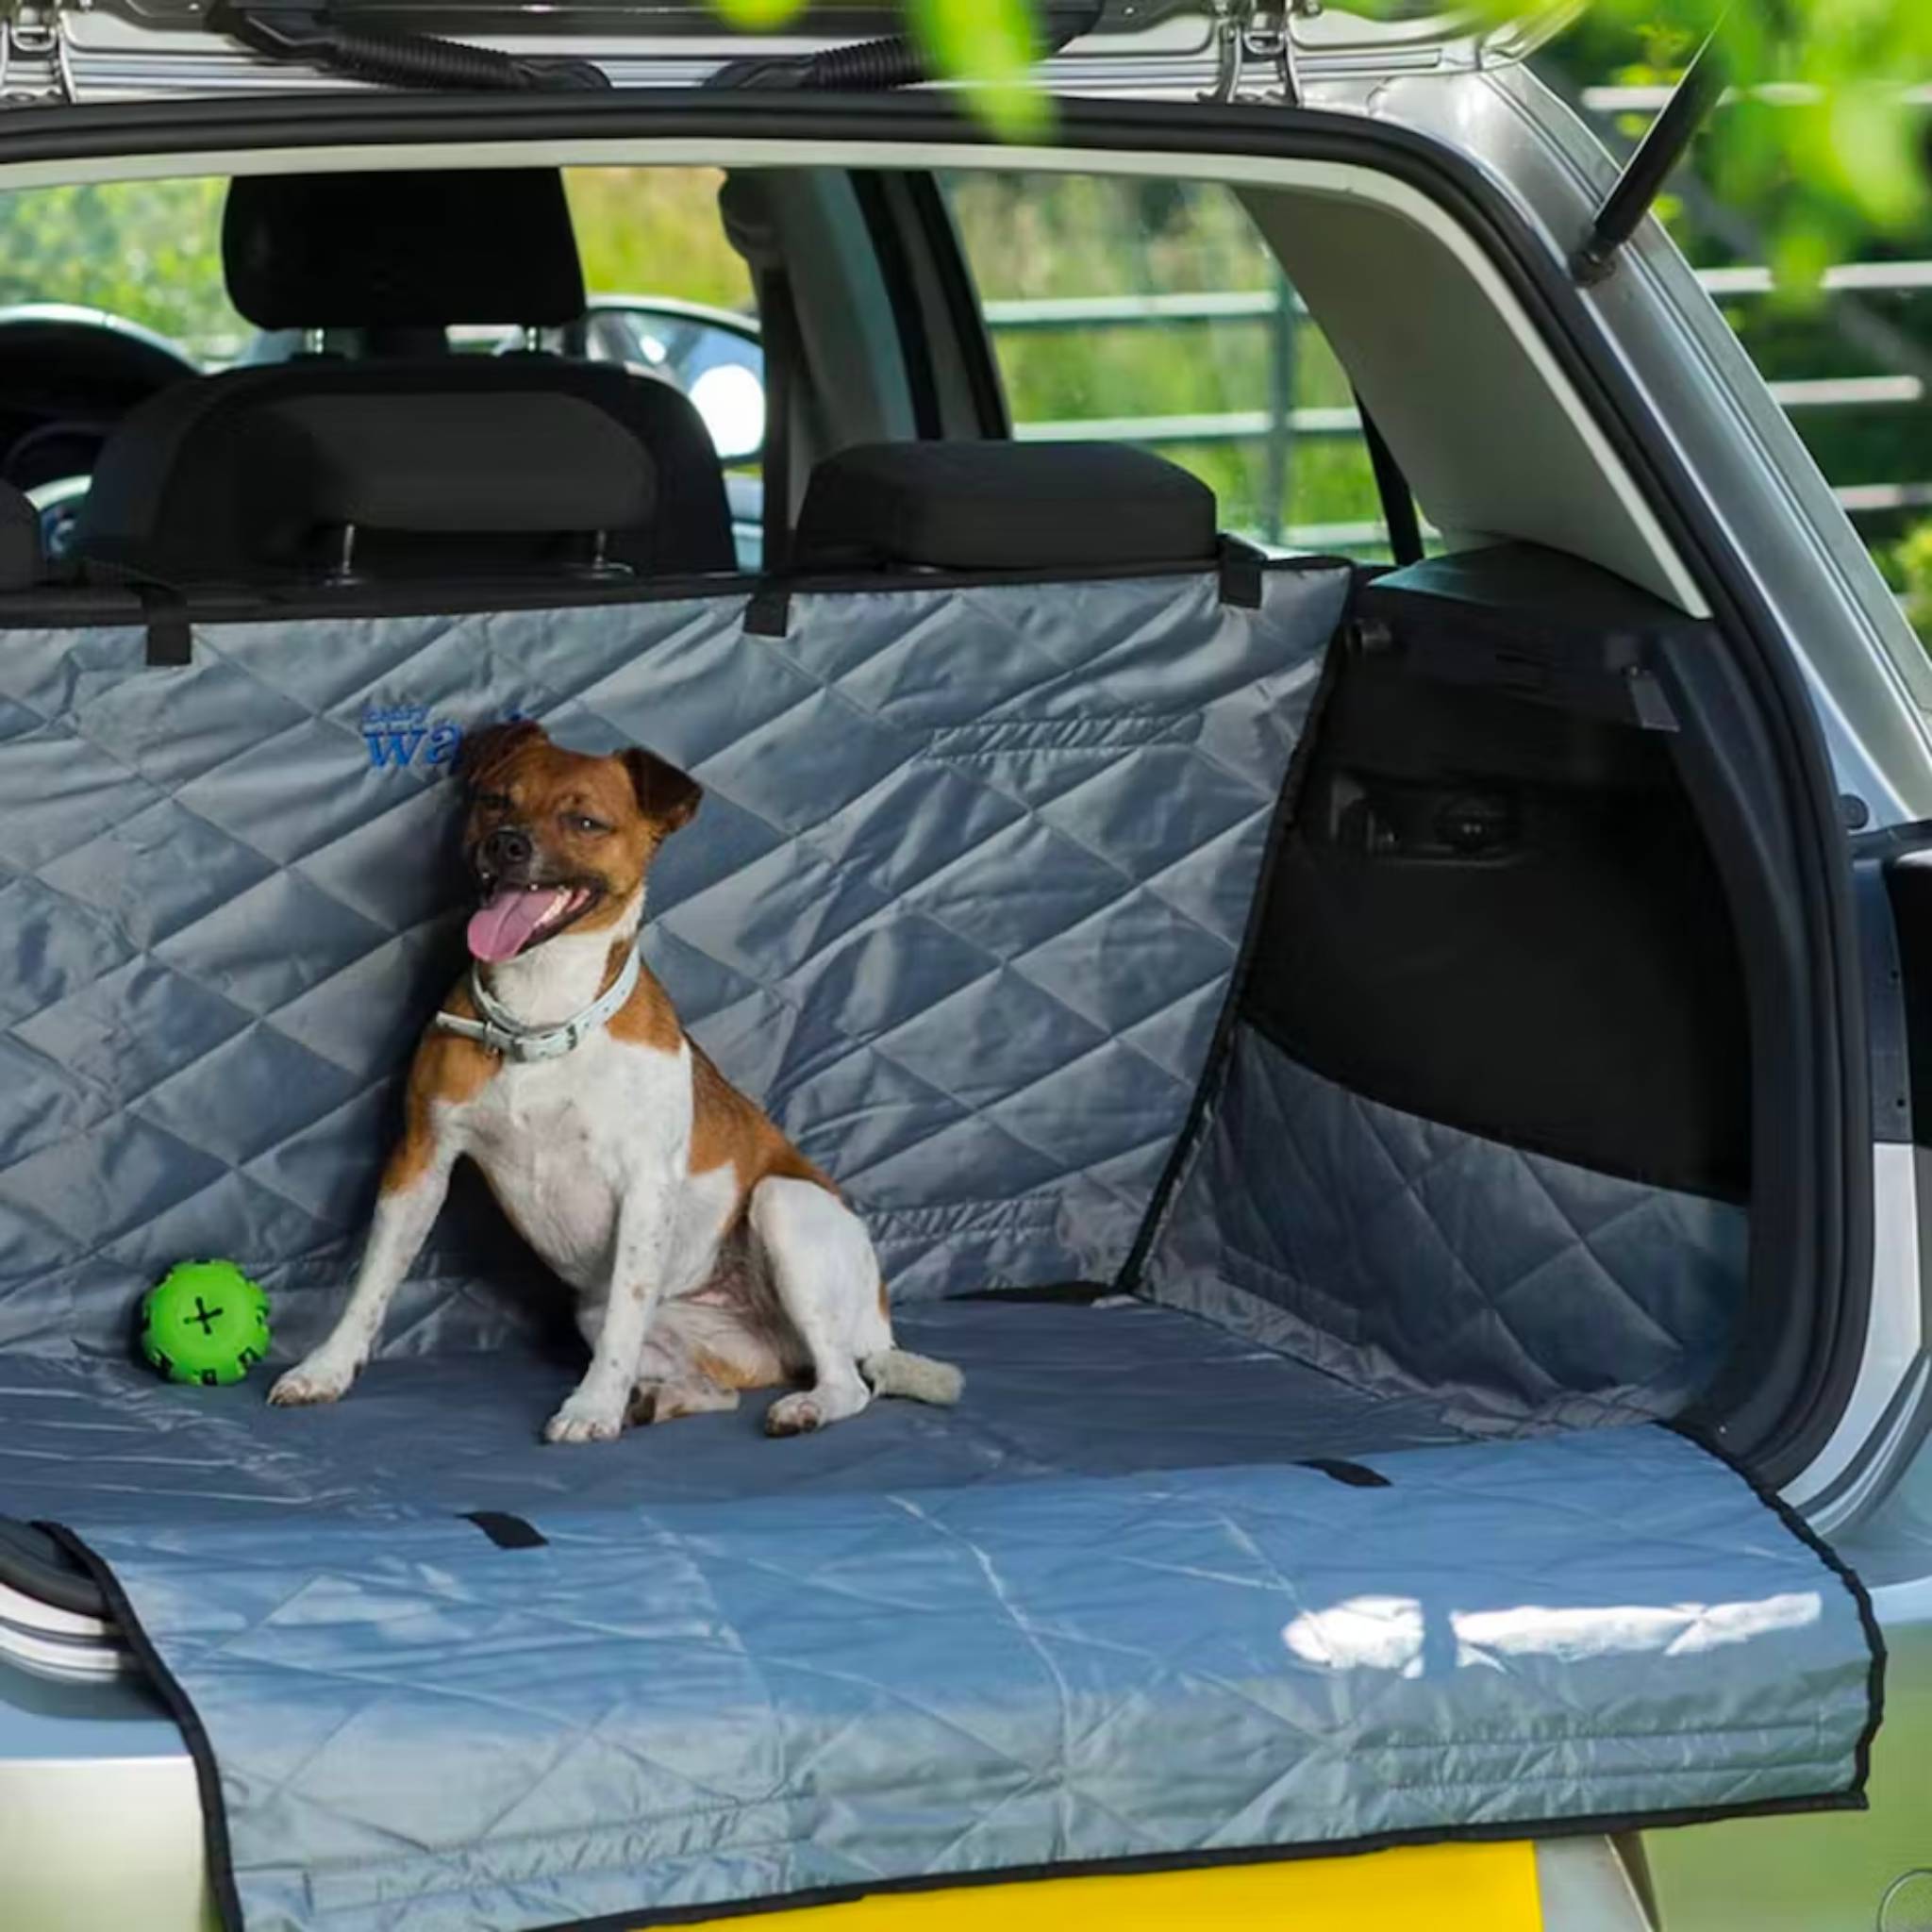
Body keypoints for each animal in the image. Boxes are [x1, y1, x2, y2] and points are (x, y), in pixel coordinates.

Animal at [268, 722, 961, 1437]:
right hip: (608, 1312)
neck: (539, 1019)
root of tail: (876, 1324)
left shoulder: (644, 1186)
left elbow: (626, 1320)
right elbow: (372, 1283)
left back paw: (801, 1406)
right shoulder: (419, 1161)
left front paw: (591, 1407)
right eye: (495, 800)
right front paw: (325, 1370)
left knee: (847, 1381)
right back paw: (659, 1399)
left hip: (784, 1207)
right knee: (717, 1389)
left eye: (585, 821)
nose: (507, 843)